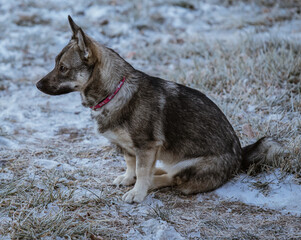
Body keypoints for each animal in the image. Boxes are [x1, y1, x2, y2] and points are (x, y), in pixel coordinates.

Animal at [36, 15, 280, 202]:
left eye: (63, 68)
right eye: (56, 64)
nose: (37, 85)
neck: (114, 91)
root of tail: (240, 158)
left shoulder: (146, 146)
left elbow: (142, 170)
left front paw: (138, 192)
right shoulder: (130, 147)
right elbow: (131, 163)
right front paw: (129, 179)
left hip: (192, 165)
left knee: (174, 179)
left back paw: (155, 179)